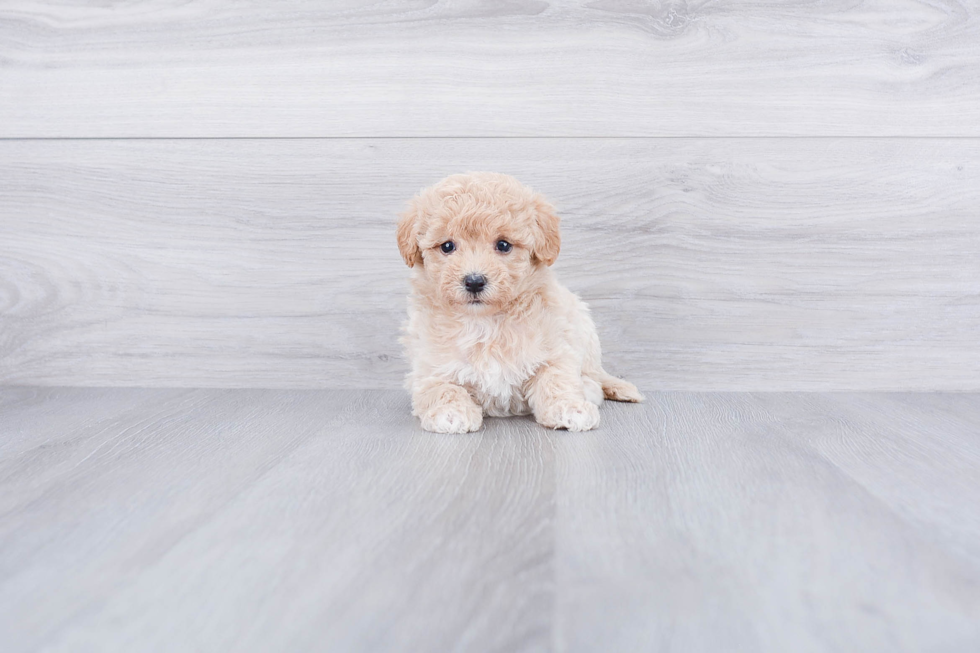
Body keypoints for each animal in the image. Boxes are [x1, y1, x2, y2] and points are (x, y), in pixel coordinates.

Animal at [398, 172, 644, 432]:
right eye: (447, 246)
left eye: (503, 245)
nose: (474, 281)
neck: (485, 322)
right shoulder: (429, 367)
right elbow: (442, 388)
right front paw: (451, 413)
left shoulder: (555, 347)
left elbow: (557, 378)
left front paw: (569, 408)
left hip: (583, 325)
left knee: (594, 374)